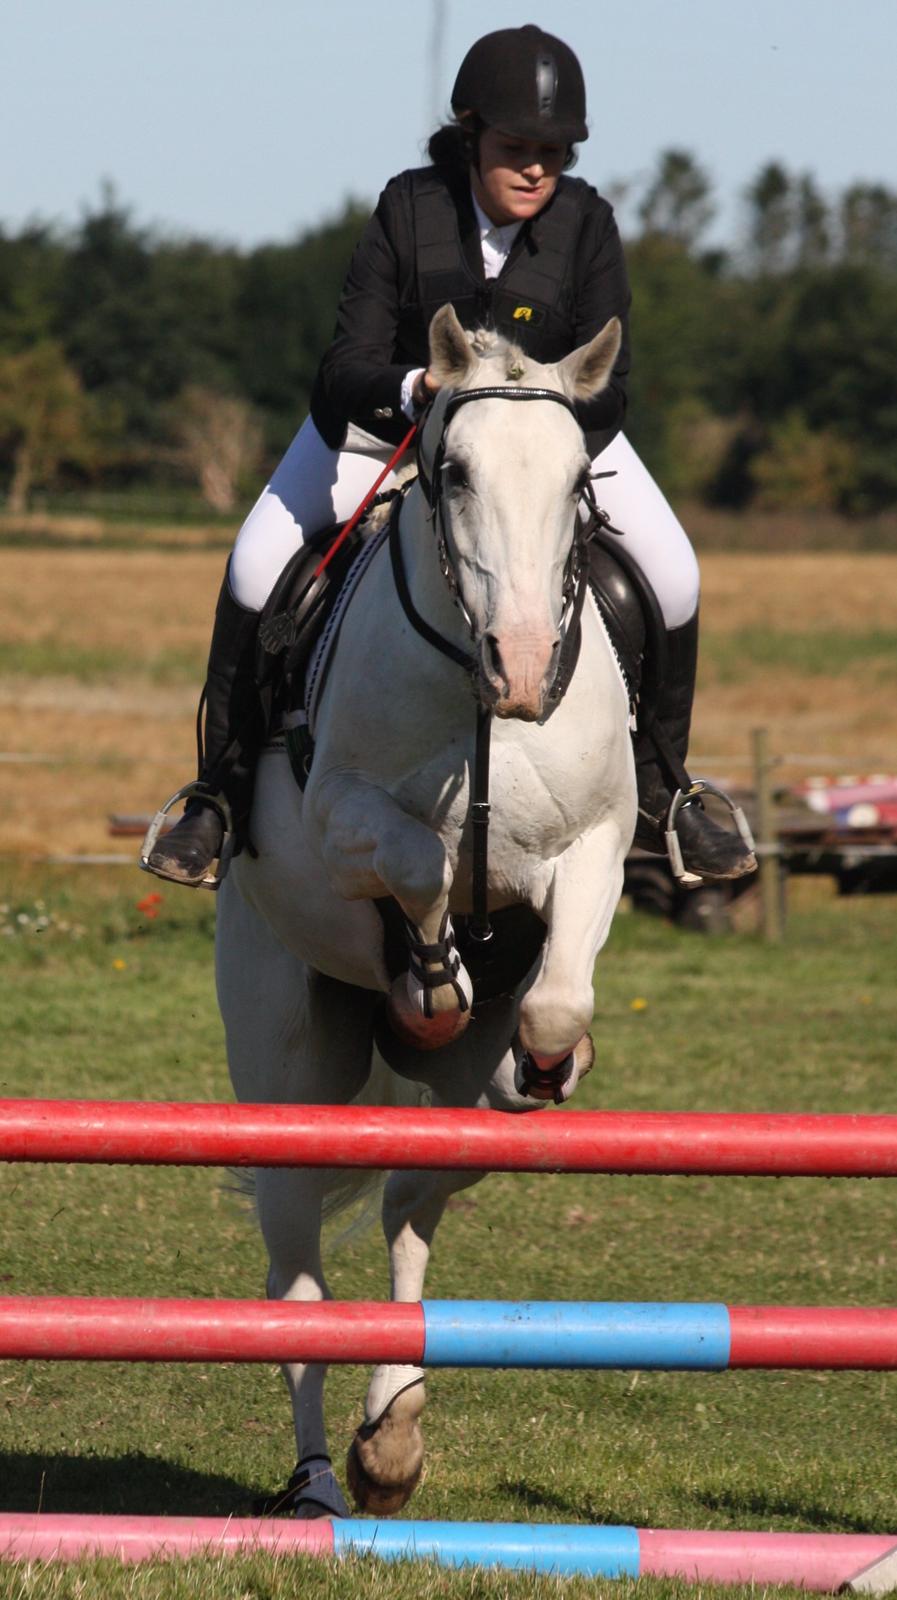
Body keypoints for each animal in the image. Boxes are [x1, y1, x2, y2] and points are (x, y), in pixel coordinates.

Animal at [217, 305, 636, 1516]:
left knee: (412, 1200)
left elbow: (555, 997)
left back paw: (391, 1436)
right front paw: (432, 974)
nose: (525, 669)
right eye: (452, 473)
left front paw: (551, 1056)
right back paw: (320, 1480)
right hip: (284, 1067)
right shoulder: (338, 815)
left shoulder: (598, 844)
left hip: (453, 1118)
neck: (477, 697)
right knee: (298, 1284)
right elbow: (412, 855)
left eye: (578, 485)